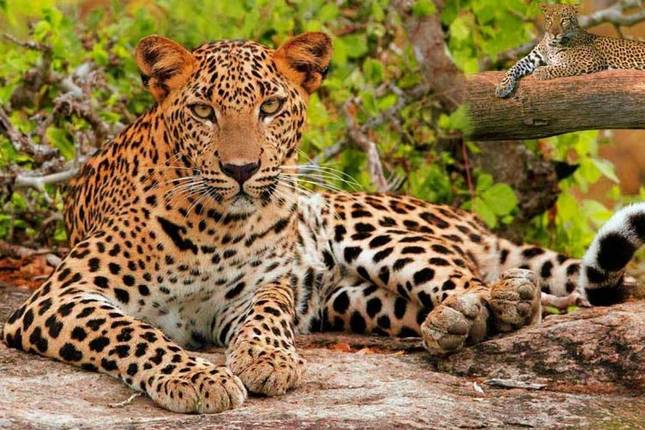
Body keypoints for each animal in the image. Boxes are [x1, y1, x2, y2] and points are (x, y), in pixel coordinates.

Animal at [2, 31, 644, 414]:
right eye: (204, 111)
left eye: (270, 107)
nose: (241, 170)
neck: (214, 226)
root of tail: (467, 218)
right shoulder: (59, 297)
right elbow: (131, 333)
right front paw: (199, 378)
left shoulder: (256, 289)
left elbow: (266, 314)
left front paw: (266, 359)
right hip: (351, 300)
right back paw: (454, 323)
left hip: (356, 221)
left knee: (470, 276)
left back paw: (493, 302)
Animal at [496, 4, 645, 98]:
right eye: (549, 19)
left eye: (564, 20)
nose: (554, 33)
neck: (551, 44)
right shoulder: (533, 57)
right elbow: (514, 67)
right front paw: (503, 86)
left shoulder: (591, 60)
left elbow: (563, 67)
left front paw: (541, 71)